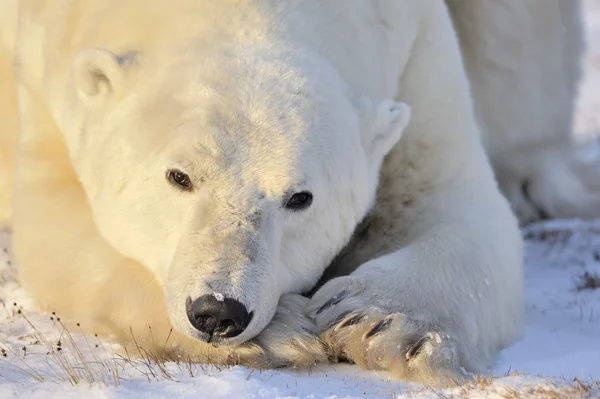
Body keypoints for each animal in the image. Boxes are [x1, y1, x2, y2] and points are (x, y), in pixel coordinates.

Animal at [0, 0, 592, 388]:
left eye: (300, 198)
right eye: (178, 176)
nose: (218, 313)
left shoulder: (414, 52)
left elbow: (452, 199)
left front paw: (383, 325)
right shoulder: (46, 71)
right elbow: (57, 227)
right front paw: (282, 331)